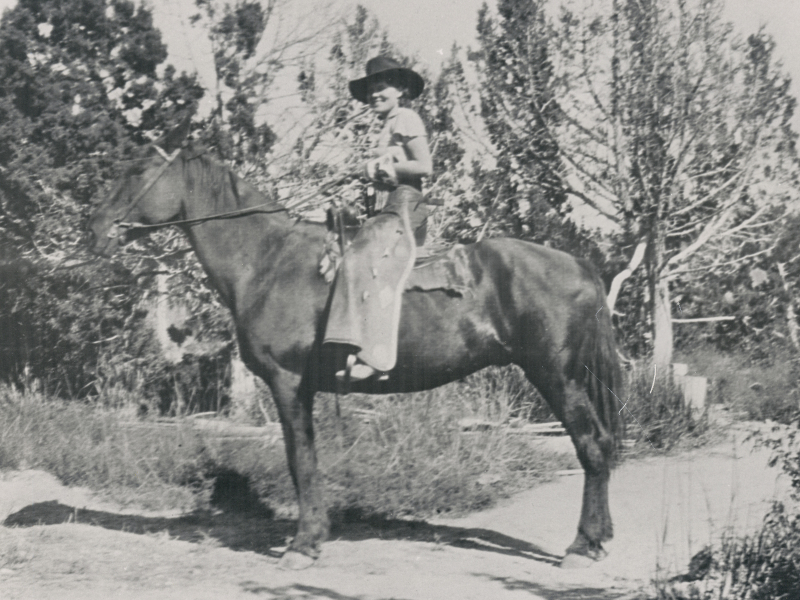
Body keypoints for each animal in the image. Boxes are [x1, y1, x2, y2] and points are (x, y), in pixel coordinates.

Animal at [88, 126, 622, 570]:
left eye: (137, 170)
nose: (96, 226)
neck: (267, 261)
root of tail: (579, 264)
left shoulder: (287, 383)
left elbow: (300, 459)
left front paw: (304, 544)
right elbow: (304, 459)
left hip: (556, 376)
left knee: (592, 445)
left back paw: (582, 546)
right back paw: (597, 539)